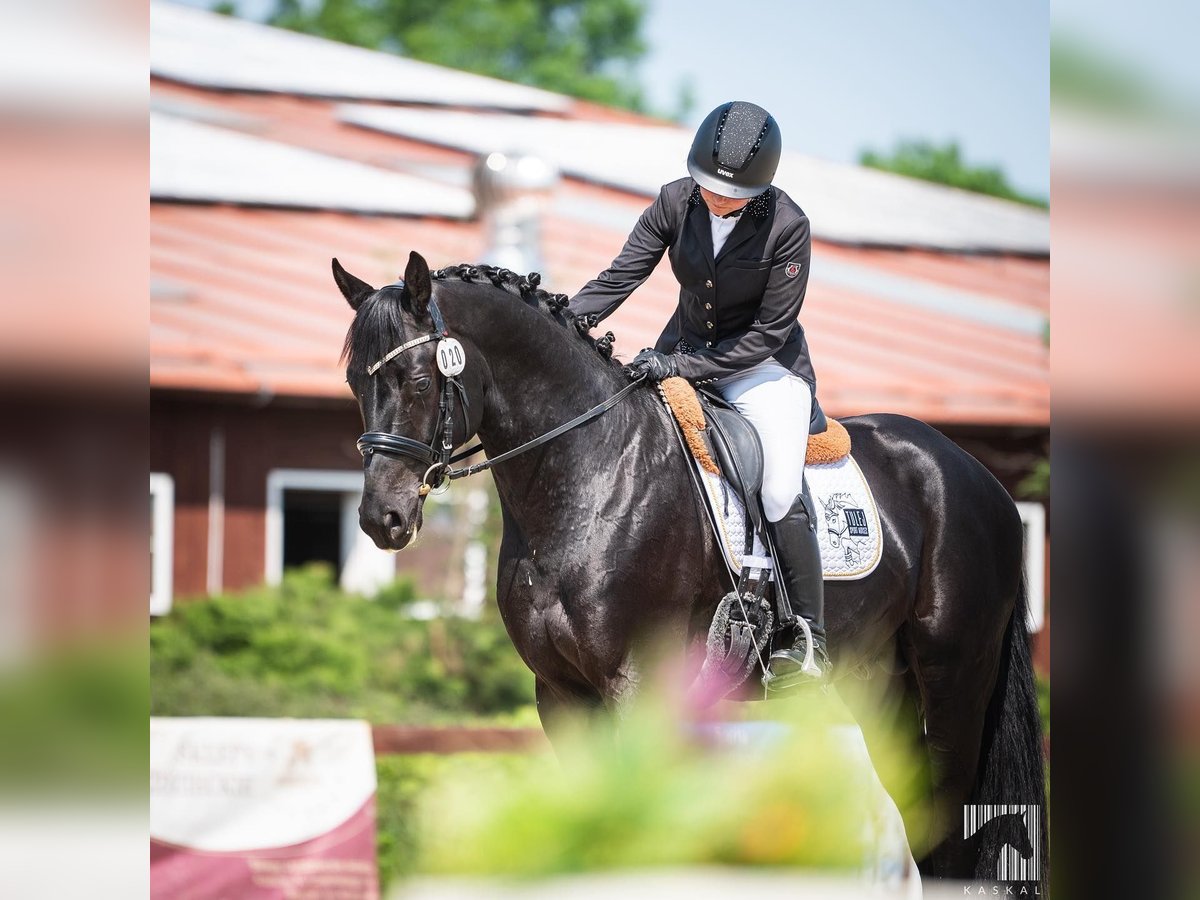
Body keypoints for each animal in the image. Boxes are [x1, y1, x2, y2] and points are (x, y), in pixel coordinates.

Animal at [333, 250, 1046, 883]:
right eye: (355, 383)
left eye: (418, 381)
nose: (380, 518)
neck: (589, 469)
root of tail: (977, 475)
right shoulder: (560, 692)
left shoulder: (638, 684)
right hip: (879, 682)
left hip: (952, 676)